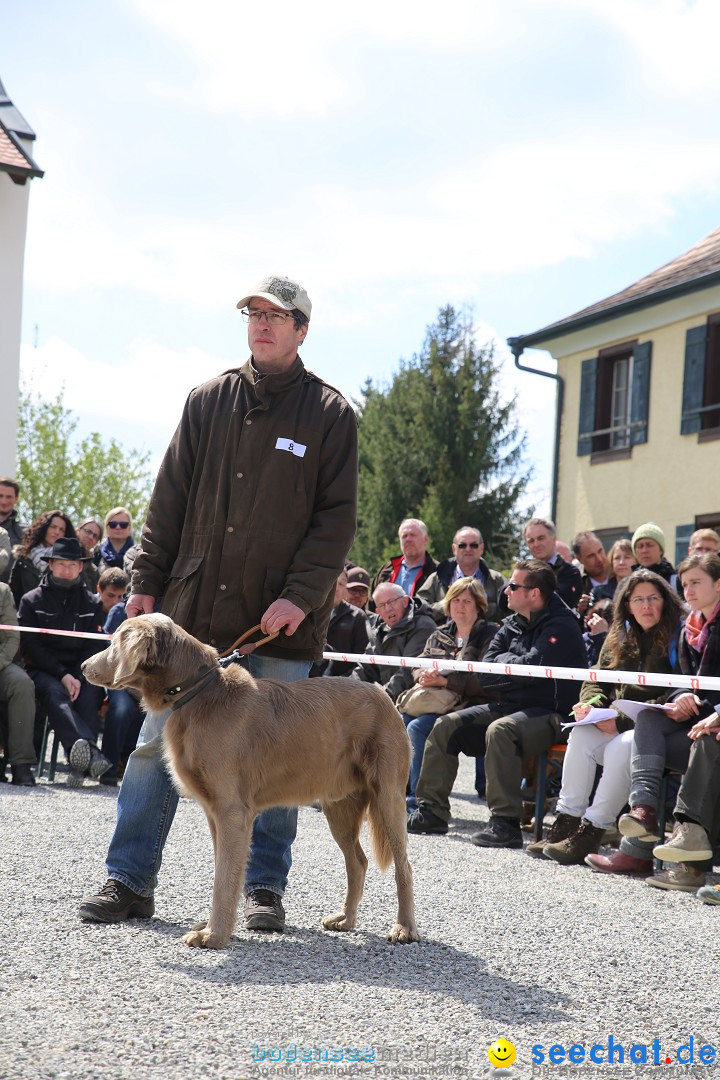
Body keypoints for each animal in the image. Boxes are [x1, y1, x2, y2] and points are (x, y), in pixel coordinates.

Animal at [83, 613, 423, 950]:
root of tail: (384, 695)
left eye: (116, 641)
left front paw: (213, 936)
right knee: (357, 862)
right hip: (339, 806)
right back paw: (346, 919)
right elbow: (226, 872)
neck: (200, 695)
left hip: (388, 796)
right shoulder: (215, 813)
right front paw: (215, 929)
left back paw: (405, 928)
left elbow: (224, 878)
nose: (84, 666)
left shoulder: (232, 811)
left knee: (404, 867)